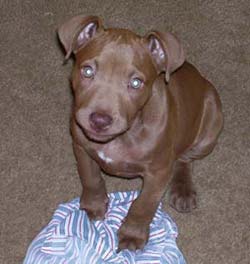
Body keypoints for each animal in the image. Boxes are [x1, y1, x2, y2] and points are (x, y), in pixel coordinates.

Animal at [58, 15, 223, 251]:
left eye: (136, 83)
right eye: (87, 71)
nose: (99, 120)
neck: (126, 133)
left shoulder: (158, 173)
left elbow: (144, 205)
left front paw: (132, 234)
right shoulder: (81, 146)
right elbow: (90, 177)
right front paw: (93, 204)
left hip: (209, 127)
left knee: (184, 158)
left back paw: (183, 189)